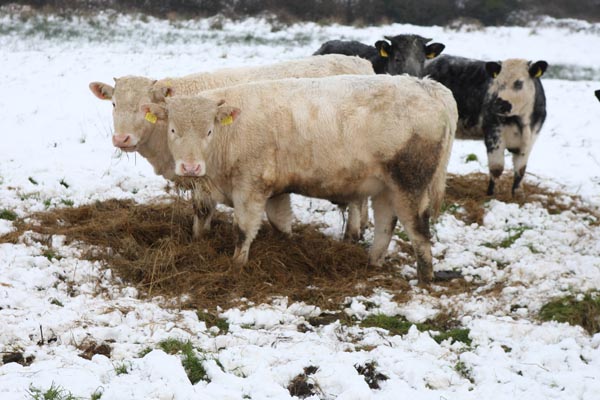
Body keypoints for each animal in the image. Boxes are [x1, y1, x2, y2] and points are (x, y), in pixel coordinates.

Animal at [88, 55, 376, 239]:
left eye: (143, 106)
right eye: (113, 104)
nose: (122, 139)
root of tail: (361, 63)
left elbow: (202, 210)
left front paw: (198, 241)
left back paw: (352, 235)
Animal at [424, 55, 548, 195]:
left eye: (518, 83)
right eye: (497, 82)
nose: (498, 104)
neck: (522, 122)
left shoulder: (530, 141)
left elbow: (520, 170)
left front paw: (517, 193)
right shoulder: (494, 134)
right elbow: (497, 168)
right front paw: (490, 193)